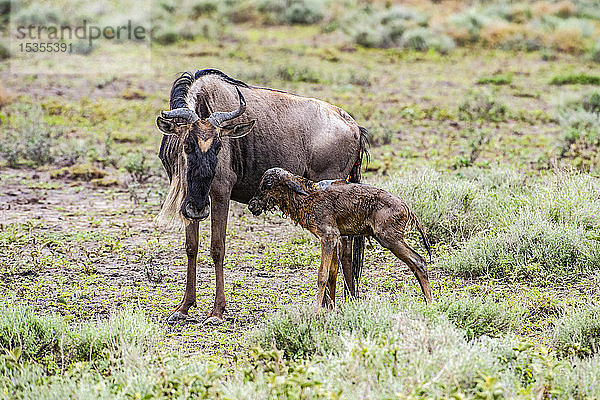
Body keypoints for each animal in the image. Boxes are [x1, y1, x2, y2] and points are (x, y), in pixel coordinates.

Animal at [246, 166, 434, 310]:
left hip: (389, 239)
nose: (252, 205)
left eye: (267, 184)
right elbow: (333, 273)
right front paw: (330, 309)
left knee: (419, 261)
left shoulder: (328, 237)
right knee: (416, 263)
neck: (308, 196)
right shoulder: (336, 239)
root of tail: (406, 207)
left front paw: (316, 312)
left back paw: (431, 303)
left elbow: (322, 276)